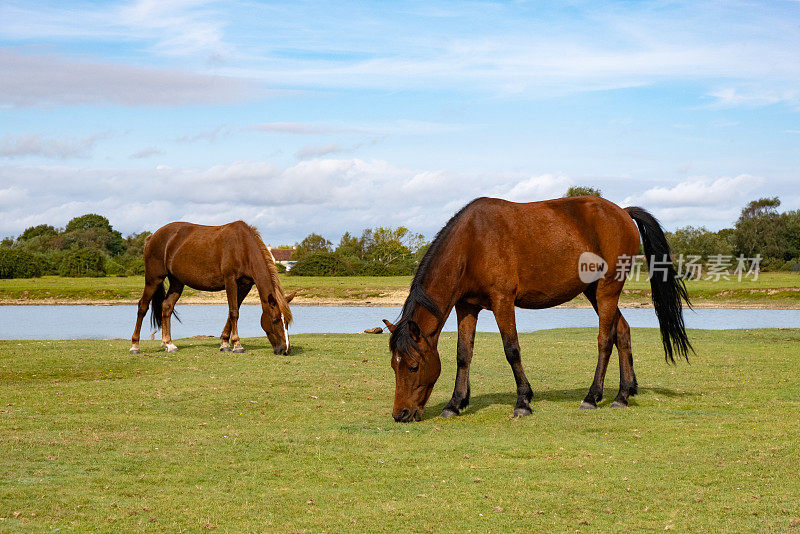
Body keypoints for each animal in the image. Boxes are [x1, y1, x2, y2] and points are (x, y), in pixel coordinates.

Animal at [130, 221, 296, 356]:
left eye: (287, 322)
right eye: (275, 320)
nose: (285, 350)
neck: (243, 247)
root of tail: (153, 236)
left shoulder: (245, 285)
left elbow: (233, 311)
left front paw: (225, 343)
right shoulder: (230, 281)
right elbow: (234, 312)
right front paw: (237, 345)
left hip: (177, 282)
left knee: (166, 307)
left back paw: (169, 344)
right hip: (153, 279)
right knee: (142, 306)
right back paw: (135, 346)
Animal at [384, 196, 692, 422]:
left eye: (412, 366)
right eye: (393, 366)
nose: (401, 414)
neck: (472, 243)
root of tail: (622, 212)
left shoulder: (503, 301)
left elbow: (512, 350)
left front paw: (523, 401)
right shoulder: (467, 306)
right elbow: (463, 354)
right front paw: (455, 403)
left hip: (607, 290)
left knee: (605, 340)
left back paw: (593, 397)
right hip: (594, 292)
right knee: (623, 331)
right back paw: (623, 394)